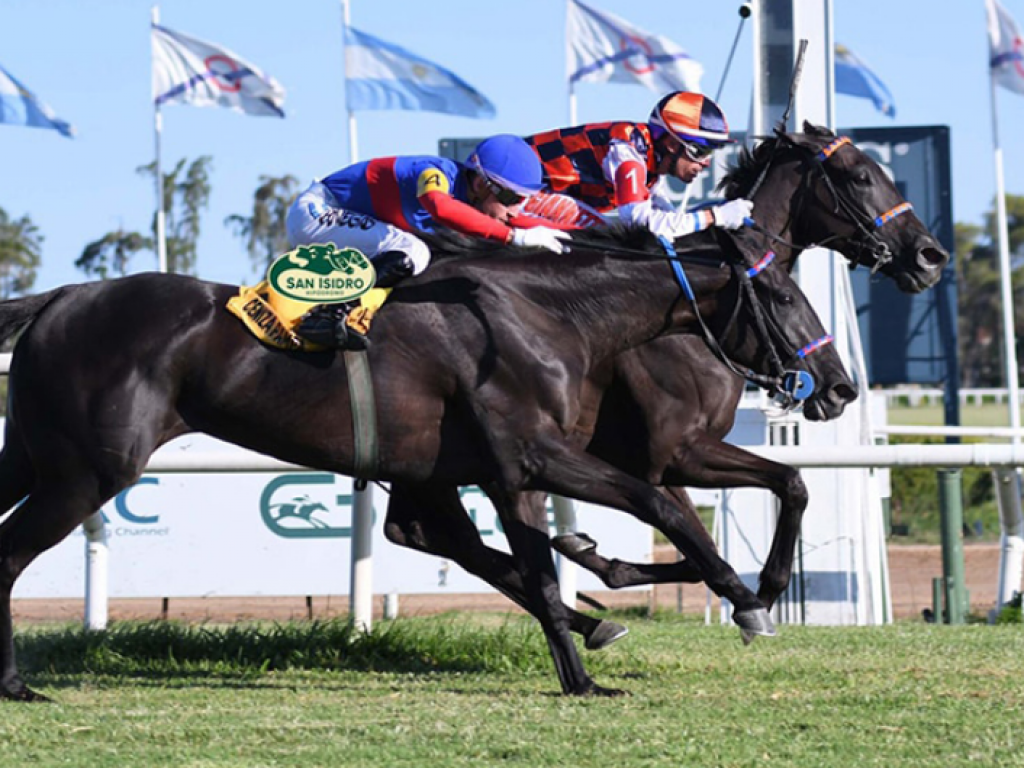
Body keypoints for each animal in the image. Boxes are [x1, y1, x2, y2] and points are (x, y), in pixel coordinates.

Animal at [0, 225, 851, 700]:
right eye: (782, 297)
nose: (838, 385)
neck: (546, 315)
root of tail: (57, 300)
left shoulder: (509, 474)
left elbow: (543, 574)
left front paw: (583, 674)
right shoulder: (539, 455)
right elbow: (661, 505)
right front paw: (745, 598)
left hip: (36, 459)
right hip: (87, 472)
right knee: (9, 555)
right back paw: (15, 683)